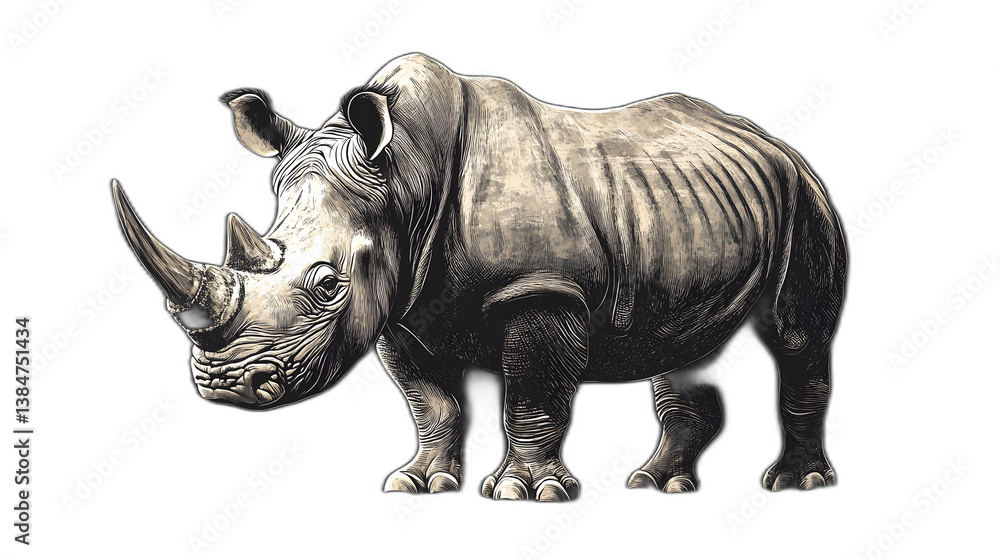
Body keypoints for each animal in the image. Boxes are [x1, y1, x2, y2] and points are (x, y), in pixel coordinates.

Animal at [111, 53, 846, 501]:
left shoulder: (542, 287)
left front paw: (526, 493)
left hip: (805, 194)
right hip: (689, 212)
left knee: (798, 334)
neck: (405, 176)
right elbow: (430, 402)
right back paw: (654, 486)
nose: (225, 387)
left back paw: (797, 485)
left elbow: (533, 393)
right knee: (681, 339)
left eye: (326, 285)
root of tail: (773, 141)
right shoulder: (401, 307)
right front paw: (417, 484)